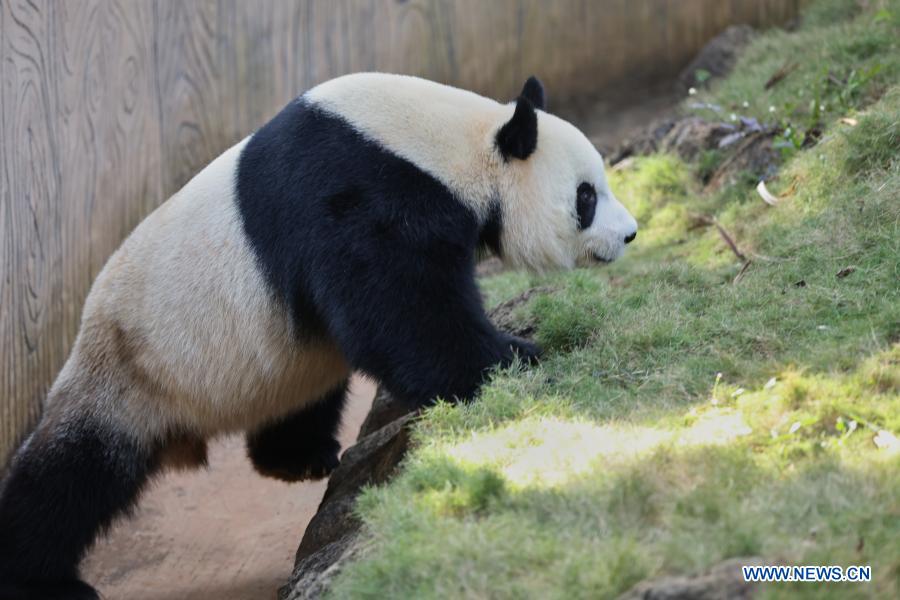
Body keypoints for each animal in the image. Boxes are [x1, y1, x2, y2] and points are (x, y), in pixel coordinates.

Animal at [0, 72, 632, 596]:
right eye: (586, 195)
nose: (629, 233)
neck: (449, 142)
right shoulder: (358, 190)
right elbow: (401, 306)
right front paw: (513, 357)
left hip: (275, 364)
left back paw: (299, 458)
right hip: (131, 367)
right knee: (70, 476)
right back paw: (40, 579)